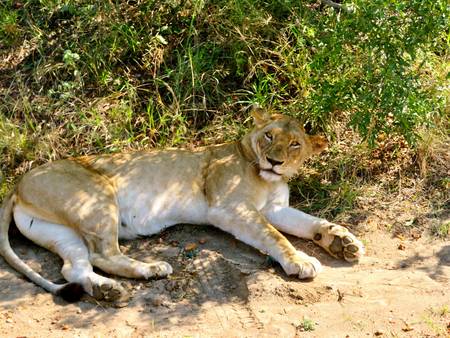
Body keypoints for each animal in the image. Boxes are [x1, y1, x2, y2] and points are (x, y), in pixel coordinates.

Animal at [0, 109, 364, 302]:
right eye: (269, 136)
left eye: (295, 144)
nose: (275, 161)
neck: (267, 177)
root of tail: (17, 184)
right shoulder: (229, 208)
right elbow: (274, 236)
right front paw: (300, 261)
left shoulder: (275, 208)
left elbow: (309, 222)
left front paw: (342, 241)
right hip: (97, 194)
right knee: (103, 254)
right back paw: (151, 269)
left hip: (60, 230)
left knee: (74, 266)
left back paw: (108, 290)